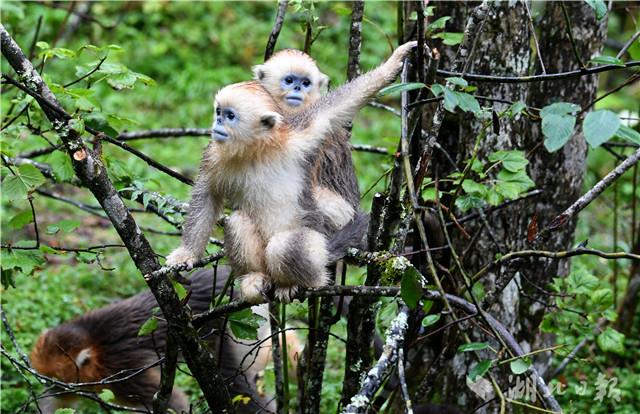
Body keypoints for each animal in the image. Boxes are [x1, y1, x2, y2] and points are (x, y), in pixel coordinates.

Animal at [29, 266, 280, 412]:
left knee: (233, 381)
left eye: (56, 382)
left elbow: (171, 403)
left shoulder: (125, 373)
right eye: (48, 382)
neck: (95, 340)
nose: (51, 390)